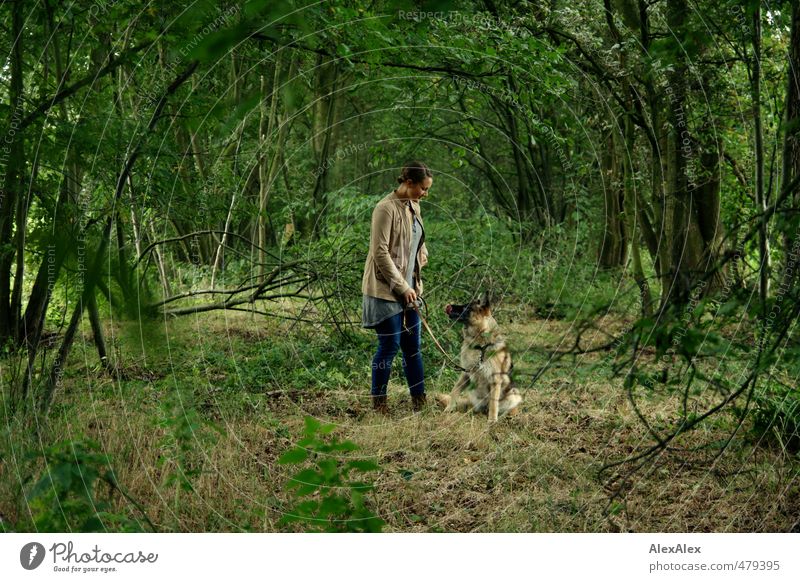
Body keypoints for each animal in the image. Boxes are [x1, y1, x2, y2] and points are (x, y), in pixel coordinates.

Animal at [434, 292, 520, 424]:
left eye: (467, 307)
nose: (449, 306)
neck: (480, 346)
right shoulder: (465, 374)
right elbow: (455, 390)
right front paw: (448, 410)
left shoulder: (495, 380)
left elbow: (494, 404)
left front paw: (492, 421)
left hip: (514, 394)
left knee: (507, 407)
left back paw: (509, 416)